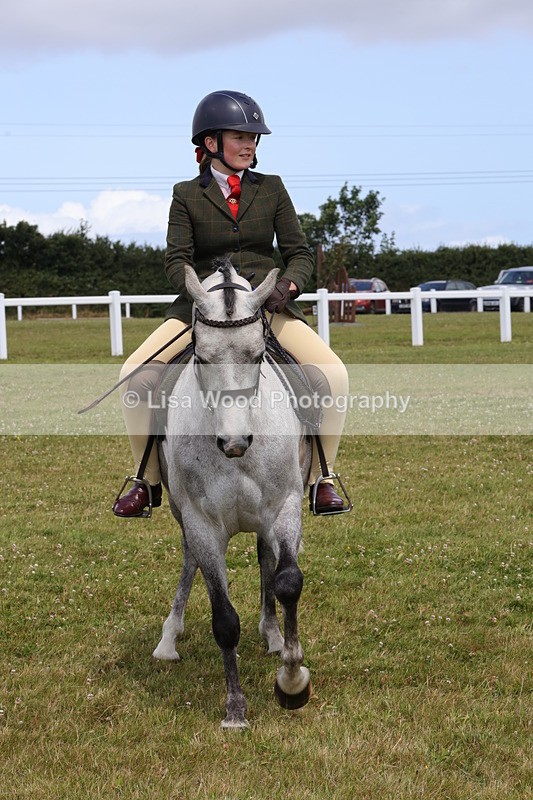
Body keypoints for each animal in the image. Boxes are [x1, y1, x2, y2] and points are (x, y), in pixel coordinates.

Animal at [152, 258, 313, 729]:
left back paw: (273, 634)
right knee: (189, 559)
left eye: (258, 354)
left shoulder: (284, 506)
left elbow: (288, 581)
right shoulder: (201, 522)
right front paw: (235, 708)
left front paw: (292, 681)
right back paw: (168, 639)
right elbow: (223, 618)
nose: (235, 442)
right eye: (201, 356)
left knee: (267, 561)